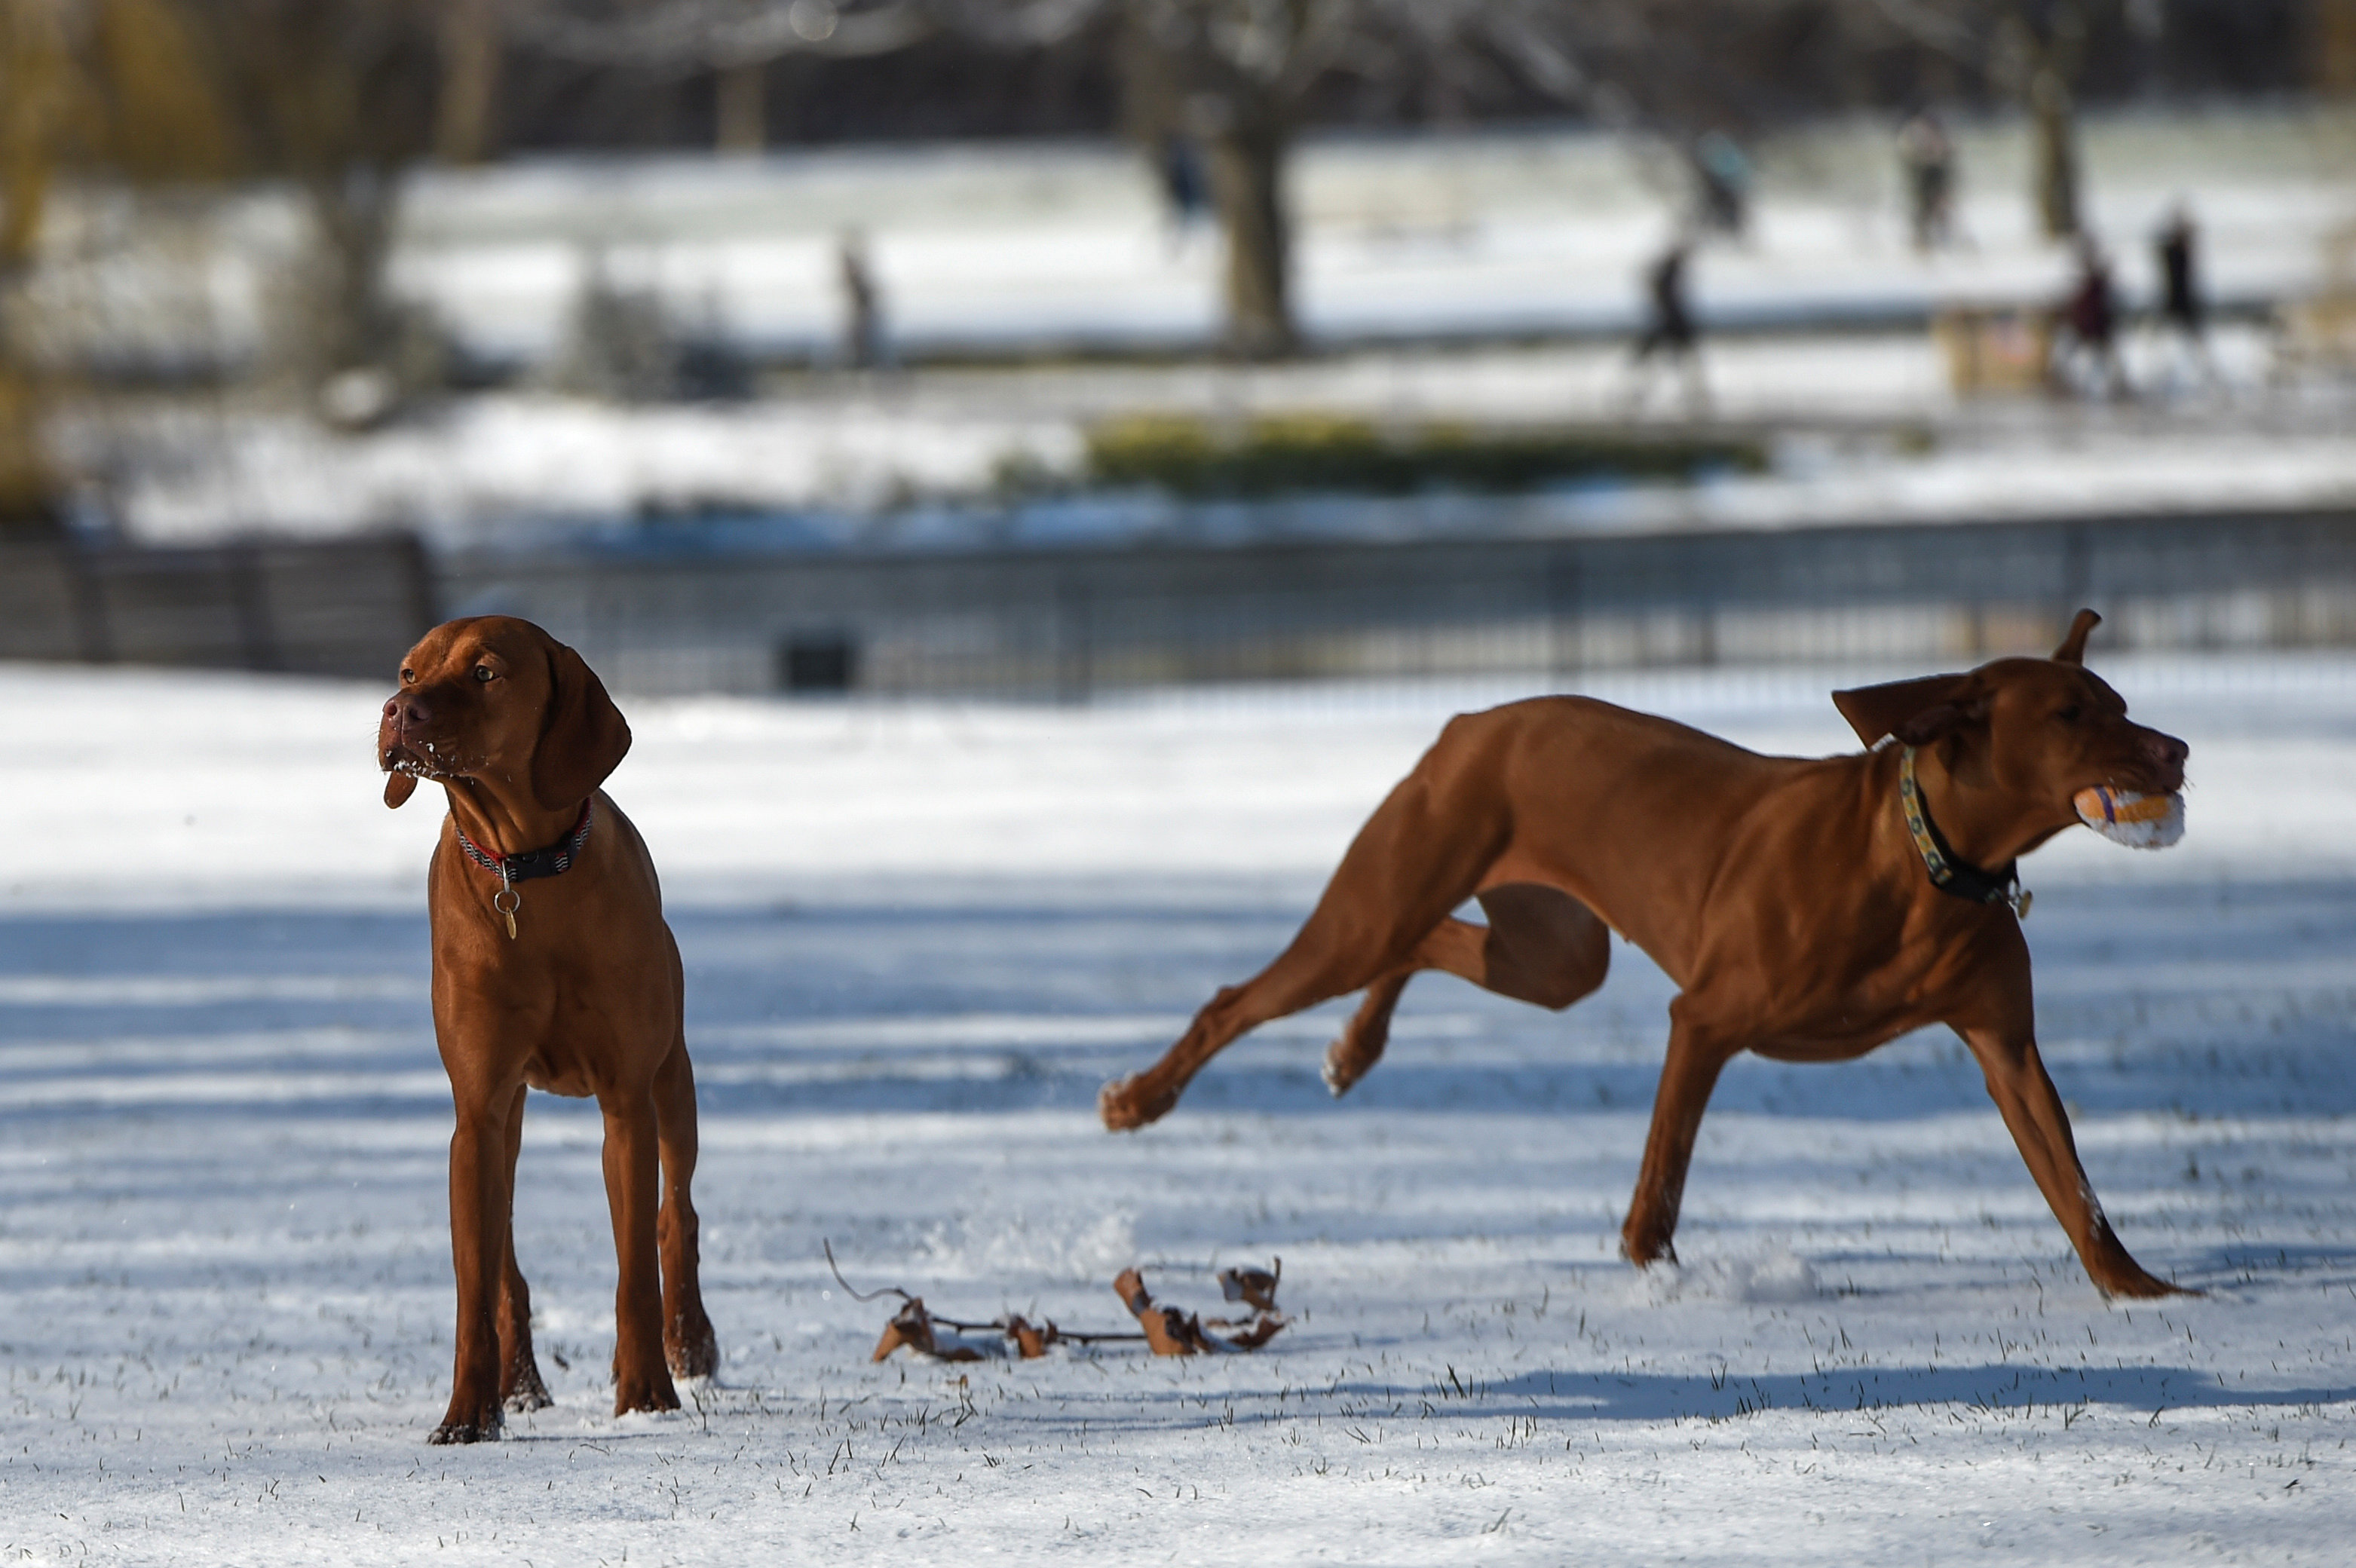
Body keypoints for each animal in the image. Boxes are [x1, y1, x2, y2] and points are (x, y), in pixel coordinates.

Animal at [379, 612, 716, 1441]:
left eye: (485, 673)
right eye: (408, 673)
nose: (397, 713)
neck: (523, 870)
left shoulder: (626, 1102)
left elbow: (637, 1271)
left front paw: (647, 1395)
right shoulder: (476, 1112)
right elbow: (477, 1285)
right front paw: (469, 1414)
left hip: (673, 1084)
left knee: (677, 1218)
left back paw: (689, 1345)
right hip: (505, 1121)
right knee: (503, 1259)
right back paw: (521, 1384)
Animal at [1102, 612, 2186, 1290]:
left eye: (2119, 699)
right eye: (2069, 714)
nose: (2175, 752)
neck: (1924, 866)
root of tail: (1472, 720)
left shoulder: (2005, 1048)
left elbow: (2076, 1191)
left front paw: (2140, 1293)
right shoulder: (1704, 1018)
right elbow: (1660, 1183)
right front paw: (1656, 1278)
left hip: (1550, 957)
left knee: (1426, 945)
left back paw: (1351, 1050)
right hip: (1381, 899)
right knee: (1244, 995)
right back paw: (1141, 1098)